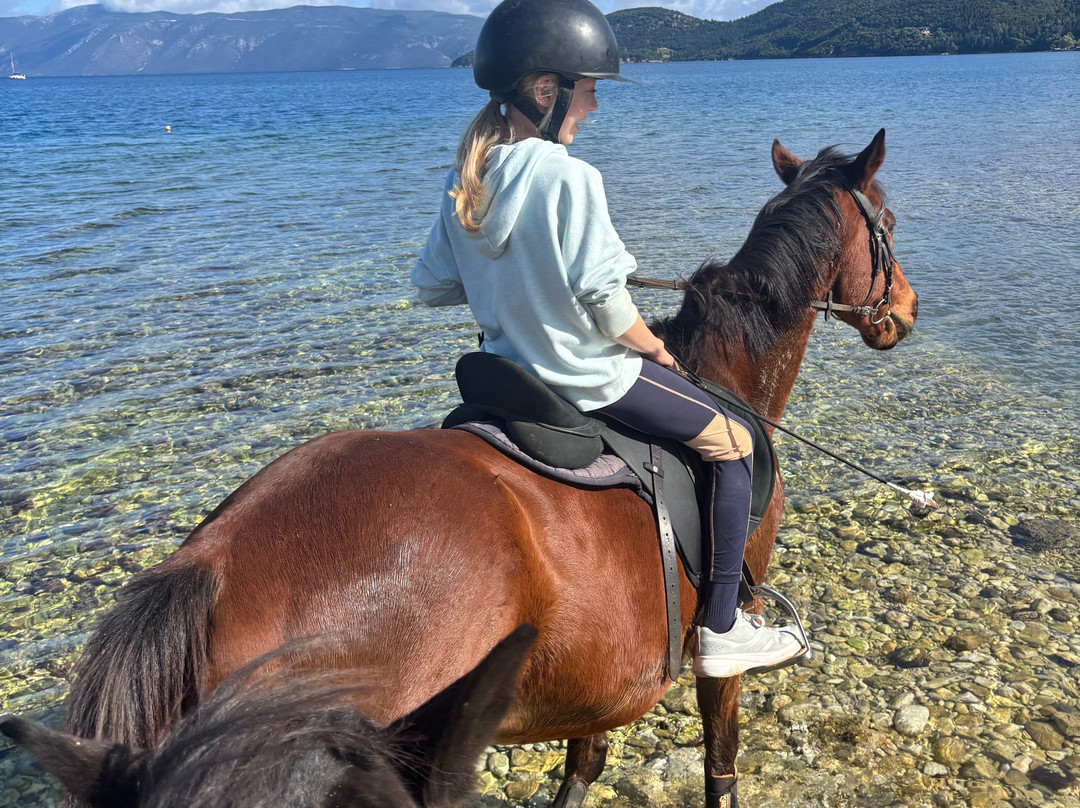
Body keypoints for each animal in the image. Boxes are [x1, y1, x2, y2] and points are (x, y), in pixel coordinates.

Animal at [60, 129, 917, 807]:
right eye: (890, 222)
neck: (720, 376)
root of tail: (210, 564)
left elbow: (582, 769)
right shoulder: (721, 625)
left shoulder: (598, 681)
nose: (904, 313)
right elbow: (720, 764)